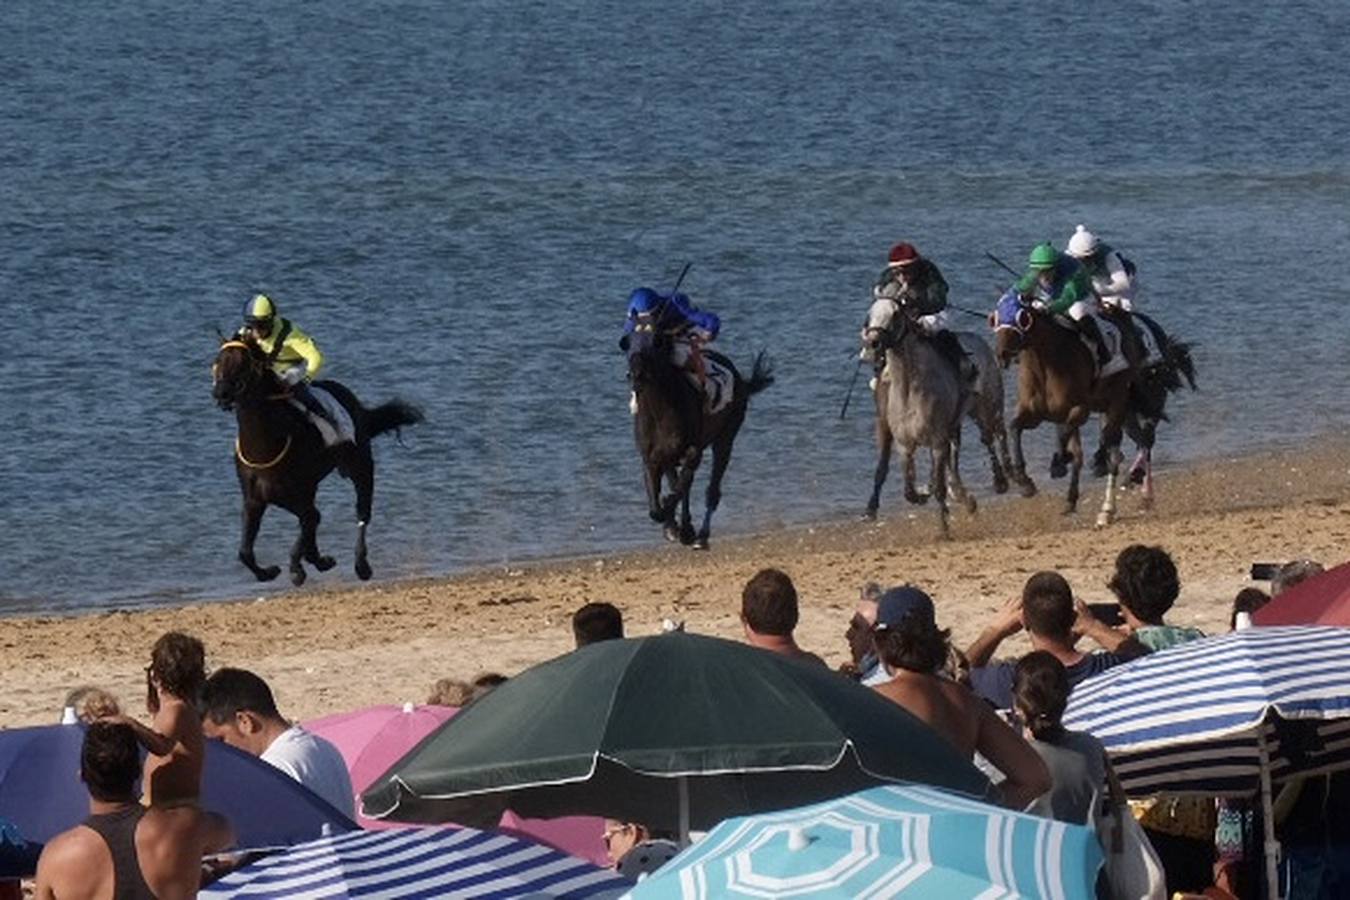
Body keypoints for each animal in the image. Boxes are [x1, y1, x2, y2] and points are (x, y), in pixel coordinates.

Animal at [209, 335, 421, 585]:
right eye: (218, 360)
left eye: (242, 363)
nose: (221, 393)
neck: (265, 446)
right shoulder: (255, 500)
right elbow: (245, 552)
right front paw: (270, 571)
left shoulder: (297, 493)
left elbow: (312, 522)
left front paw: (299, 567)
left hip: (360, 466)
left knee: (362, 512)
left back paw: (361, 565)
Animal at [621, 325, 772, 550]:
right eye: (629, 345)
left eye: (655, 344)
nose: (636, 375)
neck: (660, 411)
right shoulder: (651, 457)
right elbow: (657, 507)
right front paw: (672, 526)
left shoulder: (693, 451)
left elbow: (680, 489)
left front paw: (680, 524)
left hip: (725, 439)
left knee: (712, 490)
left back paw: (700, 534)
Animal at [858, 296, 988, 534]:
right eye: (870, 314)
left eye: (895, 314)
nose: (872, 344)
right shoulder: (895, 435)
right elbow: (894, 477)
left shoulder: (938, 436)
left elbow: (938, 479)